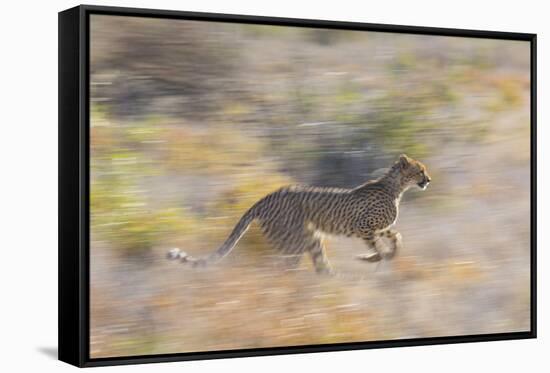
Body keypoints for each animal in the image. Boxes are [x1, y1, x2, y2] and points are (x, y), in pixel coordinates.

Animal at [168, 152, 432, 274]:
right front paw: (372, 258)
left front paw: (387, 254)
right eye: (420, 170)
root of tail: (267, 196)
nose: (428, 179)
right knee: (282, 267)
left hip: (309, 238)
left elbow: (396, 237)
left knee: (316, 266)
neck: (396, 187)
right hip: (292, 241)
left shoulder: (378, 227)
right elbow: (378, 247)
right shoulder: (363, 227)